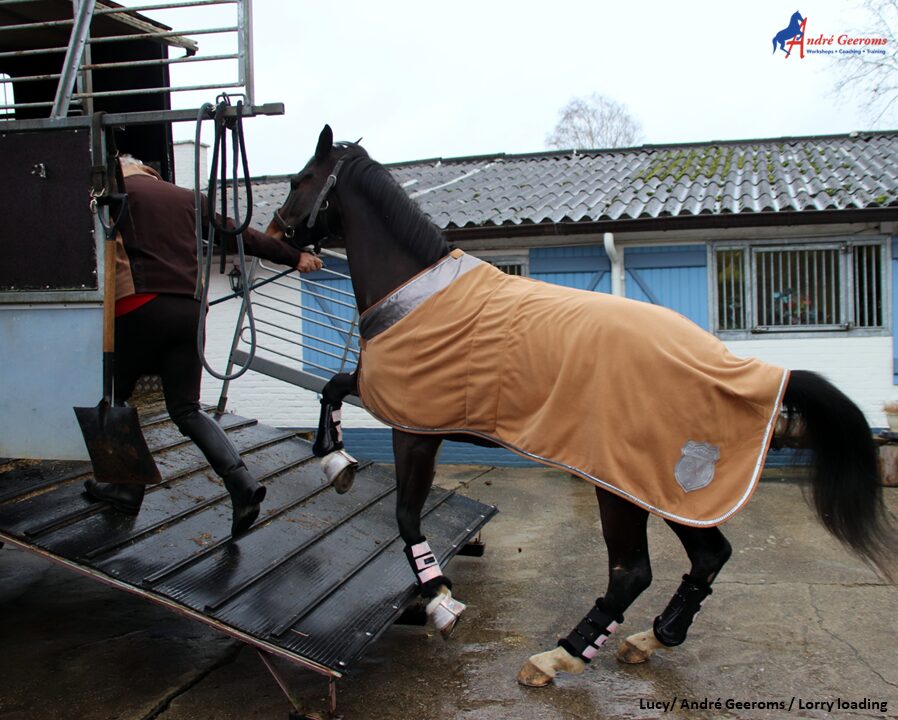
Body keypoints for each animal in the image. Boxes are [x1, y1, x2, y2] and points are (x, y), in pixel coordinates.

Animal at [266, 126, 896, 688]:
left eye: (300, 180)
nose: (275, 233)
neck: (421, 292)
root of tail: (730, 366)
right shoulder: (403, 407)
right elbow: (332, 388)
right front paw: (336, 463)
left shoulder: (414, 428)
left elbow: (404, 515)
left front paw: (440, 599)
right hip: (668, 488)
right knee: (709, 554)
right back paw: (653, 638)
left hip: (621, 485)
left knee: (632, 572)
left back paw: (559, 657)